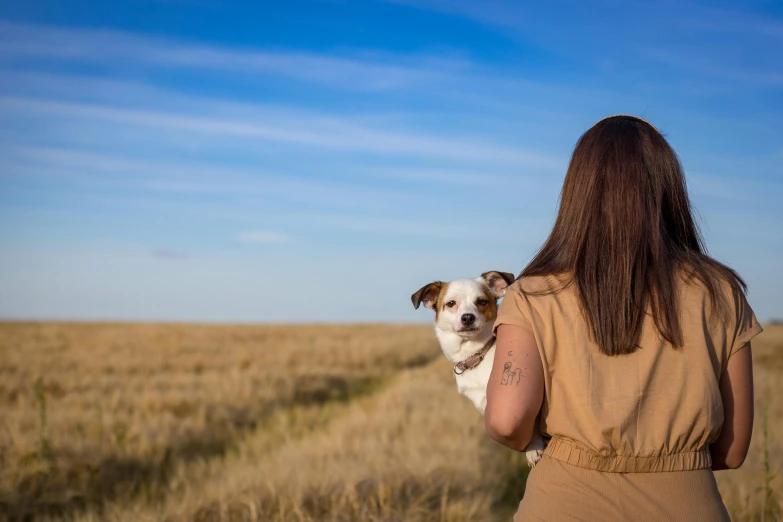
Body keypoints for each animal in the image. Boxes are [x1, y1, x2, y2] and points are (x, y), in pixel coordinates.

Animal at [416, 270, 544, 466]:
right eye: (451, 303)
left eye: (481, 301)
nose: (468, 317)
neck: (477, 353)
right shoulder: (483, 401)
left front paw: (533, 447)